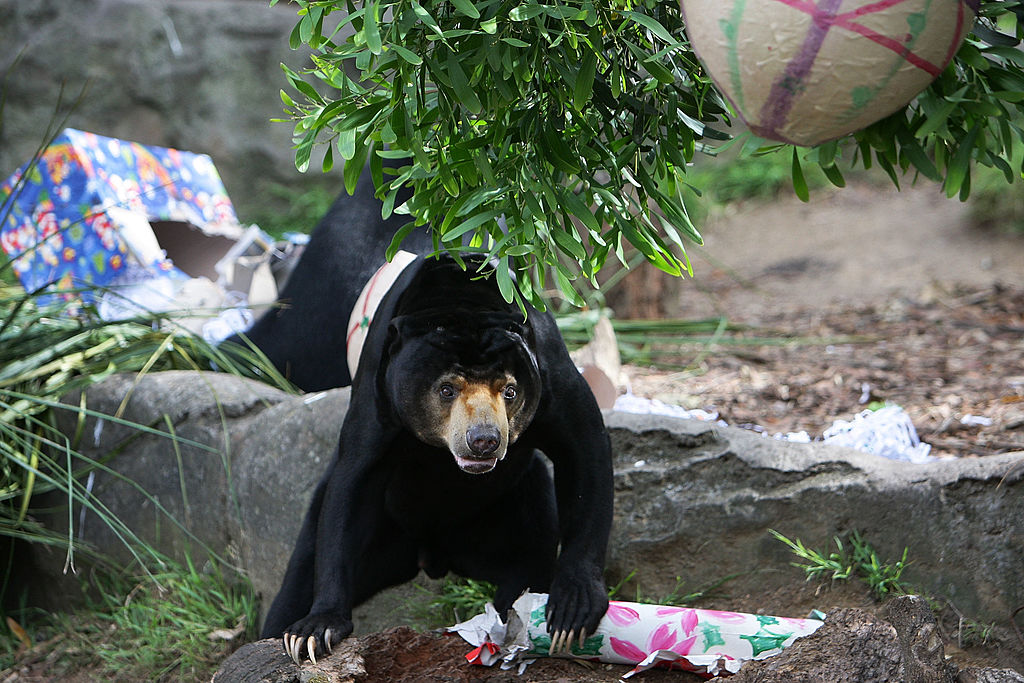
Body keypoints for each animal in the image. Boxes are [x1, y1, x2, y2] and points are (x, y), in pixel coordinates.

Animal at [241, 172, 606, 667]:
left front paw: (572, 611)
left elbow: (584, 446)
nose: (484, 440)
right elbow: (353, 482)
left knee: (528, 557)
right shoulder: (379, 391)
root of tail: (431, 556)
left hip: (514, 502)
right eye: (446, 389)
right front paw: (315, 631)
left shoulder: (548, 371)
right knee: (298, 572)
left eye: (509, 391)